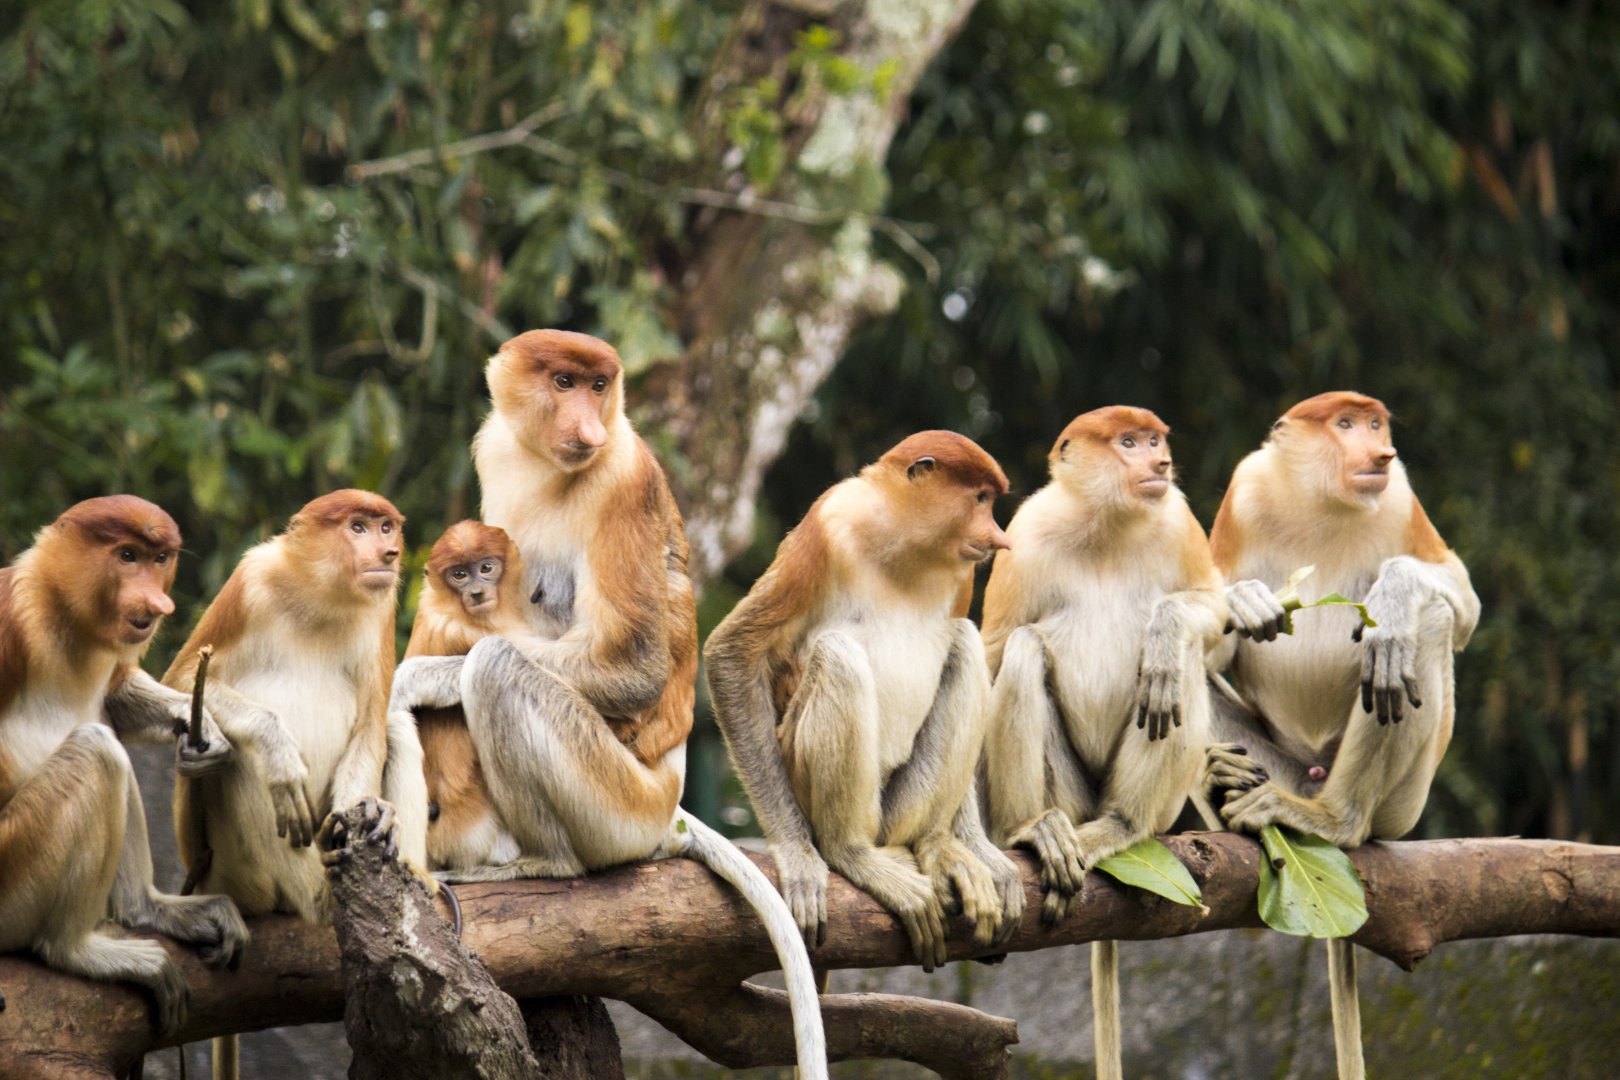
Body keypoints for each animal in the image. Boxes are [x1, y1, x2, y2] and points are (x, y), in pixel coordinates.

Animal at [0, 496, 247, 1037]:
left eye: (160, 559)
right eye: (127, 555)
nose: (157, 605)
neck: (60, 614)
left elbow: (114, 694)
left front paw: (203, 730)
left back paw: (147, 909)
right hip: (12, 870)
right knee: (98, 749)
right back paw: (76, 951)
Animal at [386, 330, 827, 1077]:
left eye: (599, 387)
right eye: (563, 382)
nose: (588, 427)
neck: (546, 467)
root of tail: (666, 807)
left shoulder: (624, 479)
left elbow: (635, 670)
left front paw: (412, 678)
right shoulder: (495, 448)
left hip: (616, 804)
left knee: (496, 671)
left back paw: (541, 863)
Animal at [703, 430, 1027, 976]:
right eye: (980, 499)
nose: (999, 538)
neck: (903, 543)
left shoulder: (963, 574)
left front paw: (979, 849)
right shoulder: (825, 527)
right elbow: (732, 652)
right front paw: (798, 856)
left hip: (896, 811)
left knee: (962, 642)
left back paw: (939, 845)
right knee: (838, 655)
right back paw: (849, 852)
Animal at [977, 407, 1228, 1080]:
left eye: (1155, 440)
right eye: (1128, 442)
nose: (1160, 464)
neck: (1108, 525)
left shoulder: (1178, 517)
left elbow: (1209, 612)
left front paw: (1166, 633)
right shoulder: (1026, 534)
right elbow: (995, 651)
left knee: (1177, 674)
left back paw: (1120, 824)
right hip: (1066, 789)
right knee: (1024, 650)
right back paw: (1035, 829)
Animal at [1205, 391, 1480, 1080]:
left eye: (1377, 424)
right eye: (1345, 424)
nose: (1379, 453)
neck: (1322, 501)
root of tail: (1312, 778)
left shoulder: (1401, 495)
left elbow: (1459, 600)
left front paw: (1394, 597)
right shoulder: (1244, 491)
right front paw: (1245, 600)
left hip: (1403, 802)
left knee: (1431, 622)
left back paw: (1333, 819)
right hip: (1274, 761)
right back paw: (1226, 786)